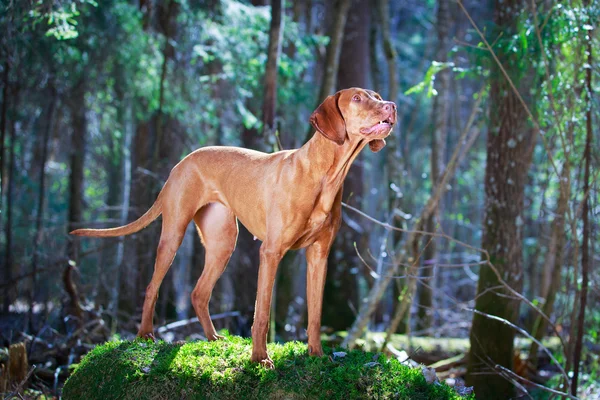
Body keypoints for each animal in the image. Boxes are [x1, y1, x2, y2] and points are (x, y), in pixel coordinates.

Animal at [70, 88, 396, 368]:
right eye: (357, 98)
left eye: (378, 97)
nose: (392, 106)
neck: (325, 175)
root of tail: (180, 163)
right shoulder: (271, 252)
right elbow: (261, 313)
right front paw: (260, 359)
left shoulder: (319, 256)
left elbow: (315, 313)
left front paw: (315, 355)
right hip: (174, 234)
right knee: (153, 286)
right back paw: (145, 335)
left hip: (223, 243)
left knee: (199, 293)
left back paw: (213, 338)